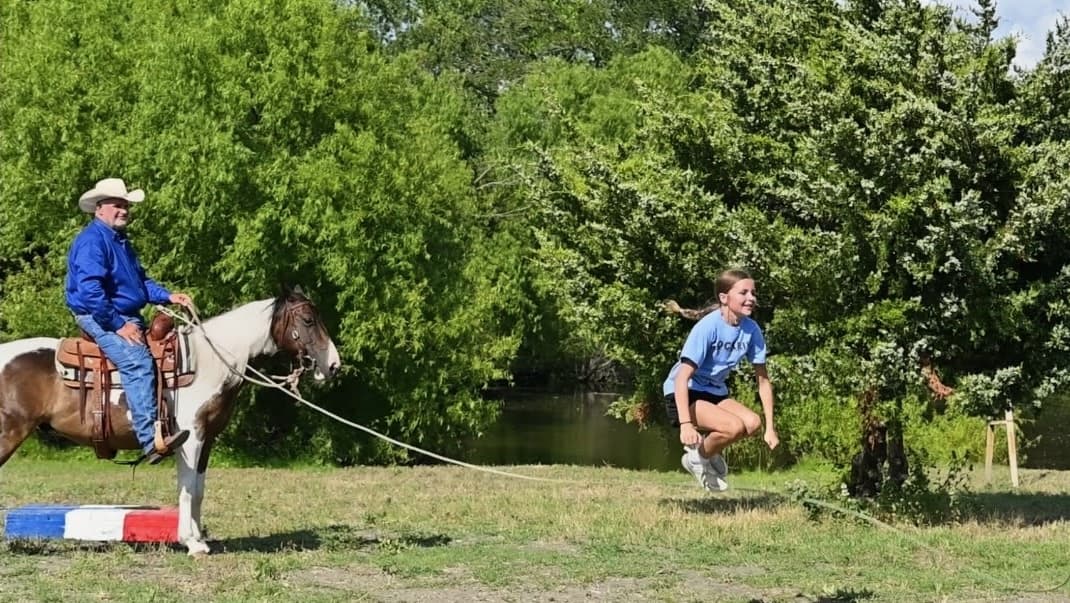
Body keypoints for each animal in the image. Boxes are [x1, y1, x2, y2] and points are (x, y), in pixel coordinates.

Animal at [0, 287, 341, 555]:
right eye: (308, 320)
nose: (334, 365)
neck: (207, 362)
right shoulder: (190, 437)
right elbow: (187, 488)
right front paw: (191, 543)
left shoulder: (207, 439)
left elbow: (198, 488)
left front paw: (200, 538)